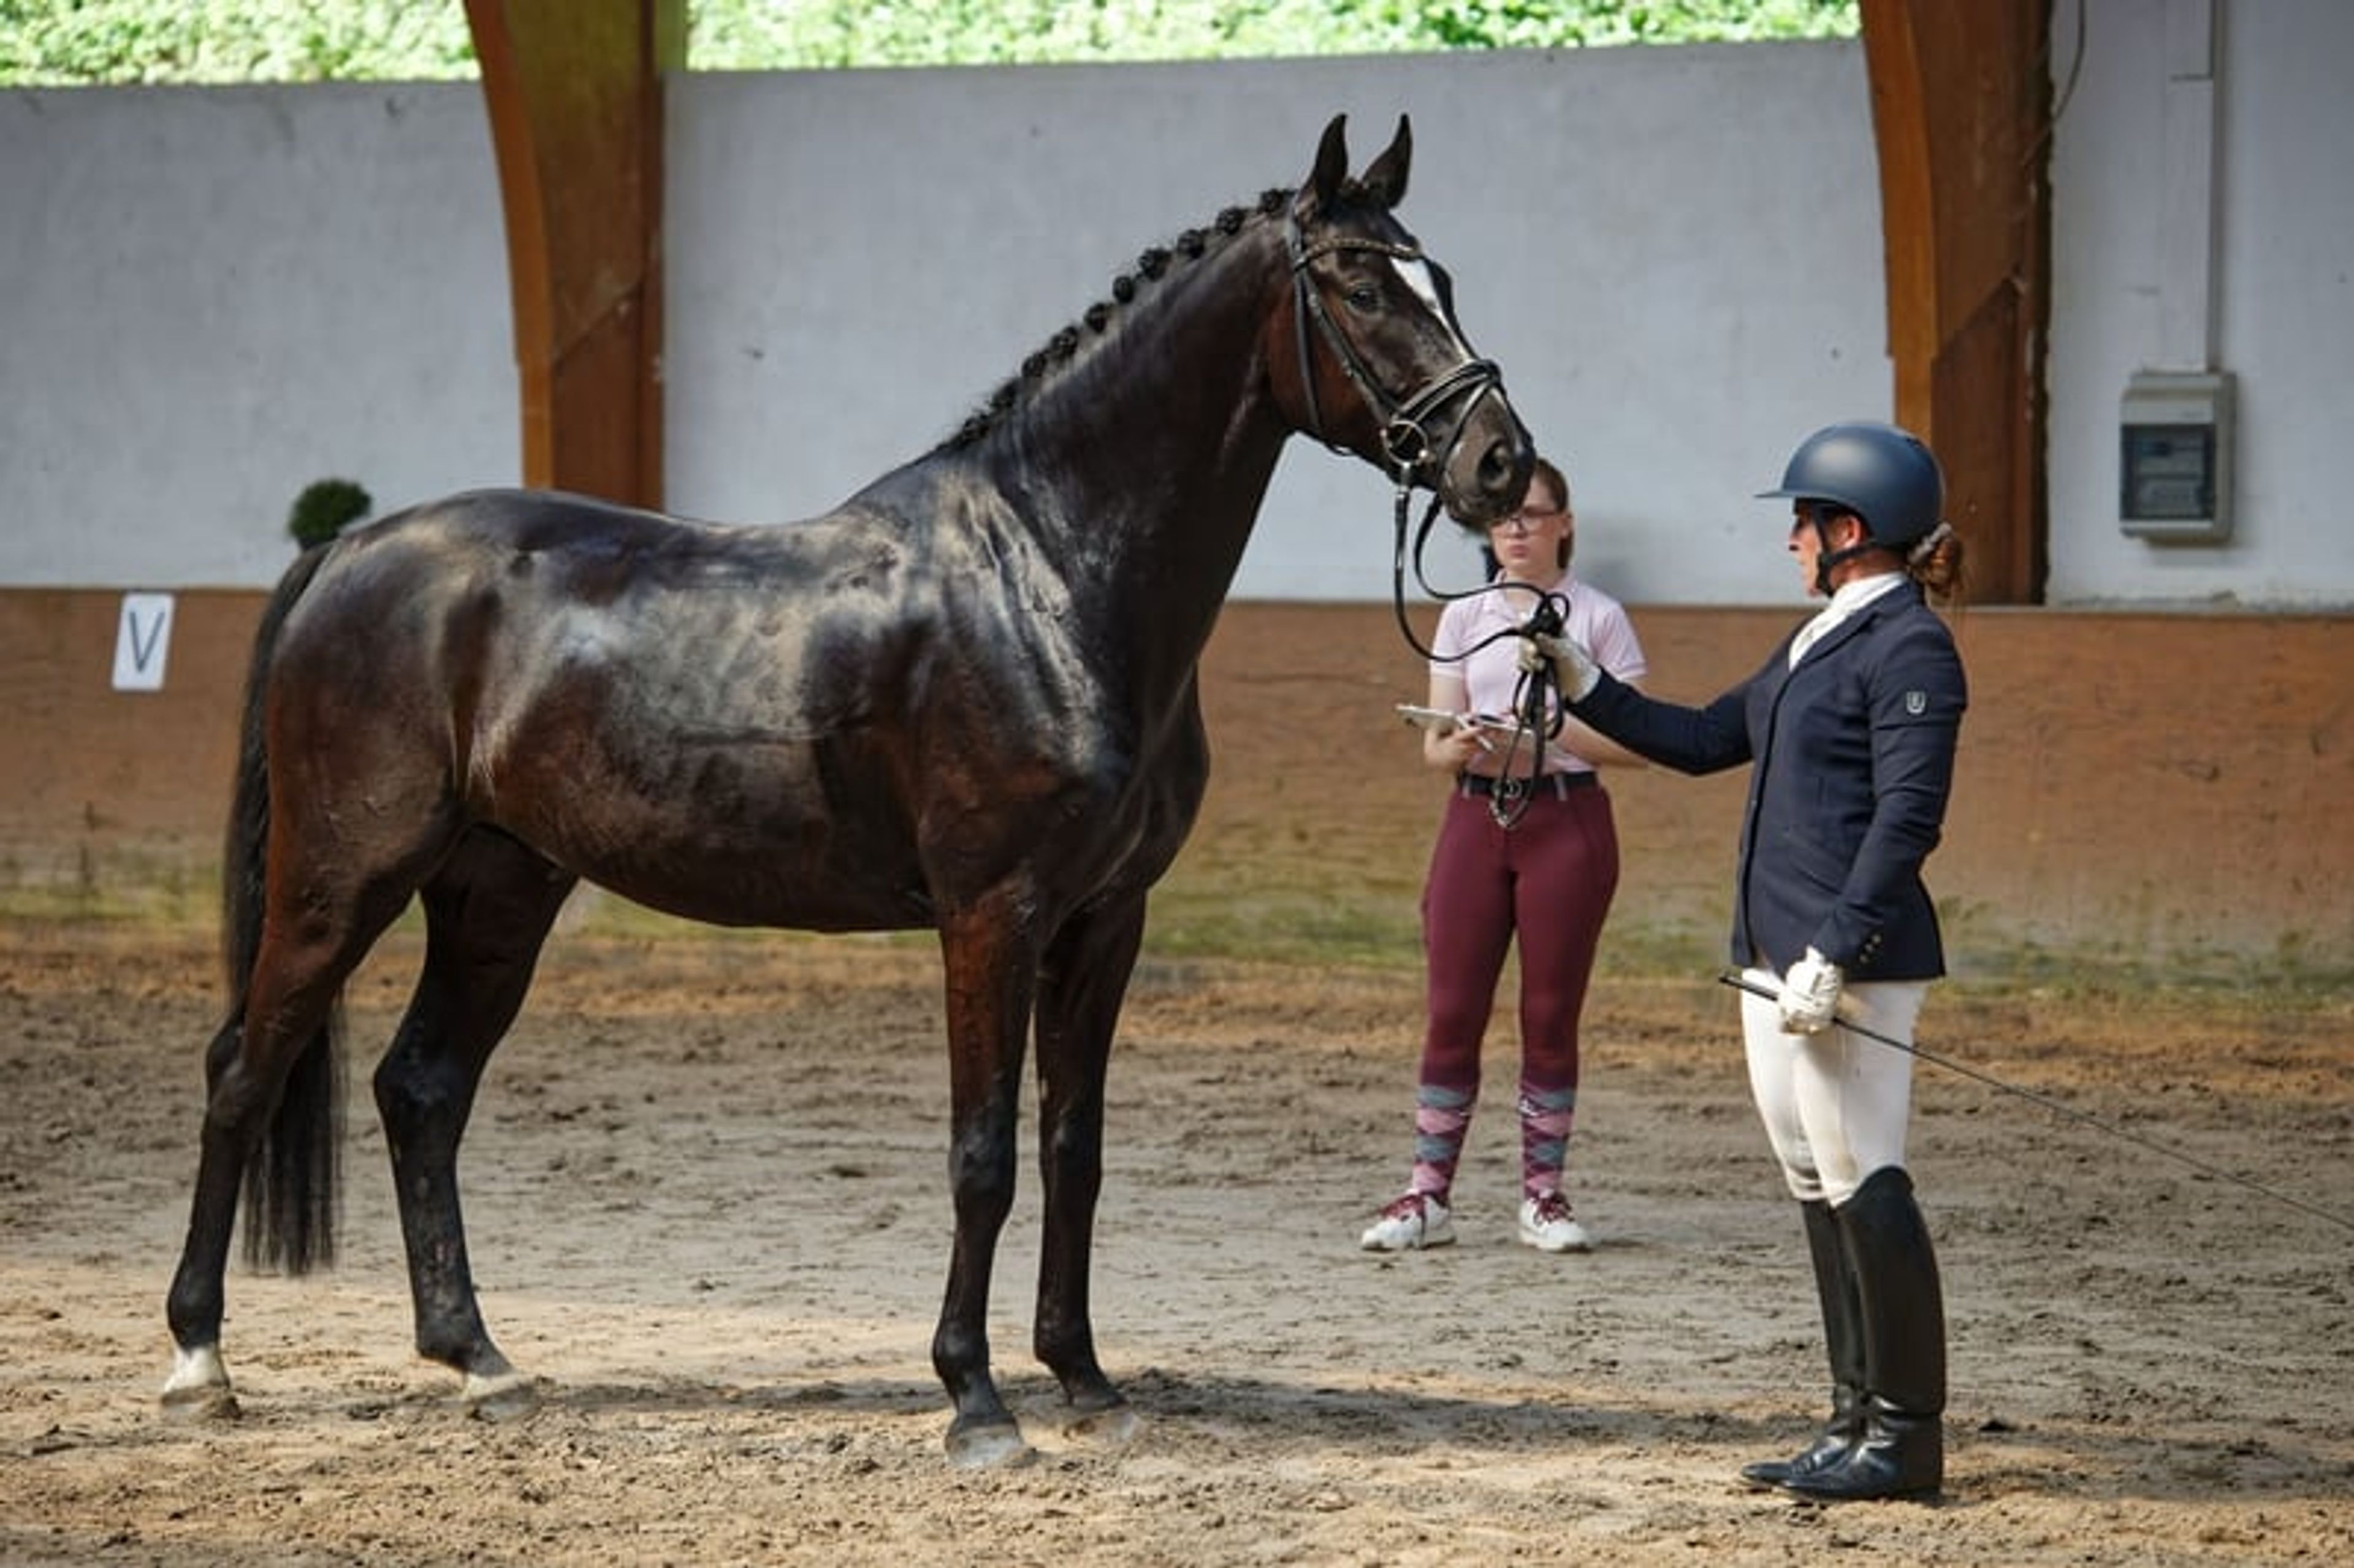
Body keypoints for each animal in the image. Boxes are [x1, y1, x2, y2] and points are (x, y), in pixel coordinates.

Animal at [161, 113, 1533, 1467]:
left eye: (1443, 278)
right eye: (1363, 286)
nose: (1503, 465)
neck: (1047, 573)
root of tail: (349, 548)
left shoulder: (1105, 919)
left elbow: (1073, 1145)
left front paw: (1084, 1378)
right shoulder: (992, 913)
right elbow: (983, 1154)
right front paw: (975, 1399)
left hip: (498, 889)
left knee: (421, 1090)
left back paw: (479, 1362)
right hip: (343, 880)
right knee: (243, 1070)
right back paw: (199, 1363)